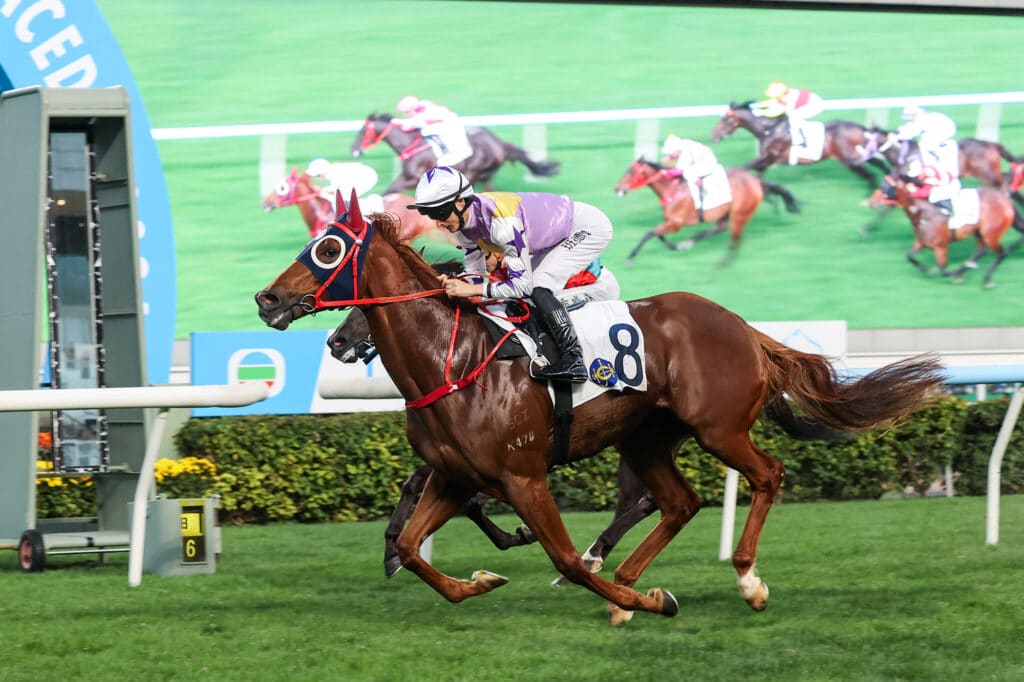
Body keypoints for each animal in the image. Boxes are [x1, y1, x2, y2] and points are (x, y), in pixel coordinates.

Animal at [255, 190, 944, 624]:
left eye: (327, 249)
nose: (268, 299)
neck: (454, 364)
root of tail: (745, 328)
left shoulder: (522, 475)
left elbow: (557, 553)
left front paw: (648, 599)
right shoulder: (454, 475)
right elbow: (411, 547)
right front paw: (477, 579)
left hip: (717, 428)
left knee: (765, 476)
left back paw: (742, 580)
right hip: (645, 438)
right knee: (678, 502)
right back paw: (627, 590)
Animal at [351, 113, 560, 193]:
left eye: (362, 131)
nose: (353, 150)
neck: (410, 144)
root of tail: (499, 144)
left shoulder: (413, 178)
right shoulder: (406, 178)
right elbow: (389, 192)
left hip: (473, 172)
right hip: (484, 176)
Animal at [613, 159, 800, 265]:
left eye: (630, 172)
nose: (616, 189)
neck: (672, 189)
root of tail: (756, 181)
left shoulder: (675, 223)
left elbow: (649, 234)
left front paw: (630, 257)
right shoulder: (670, 222)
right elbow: (657, 235)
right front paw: (675, 246)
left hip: (740, 214)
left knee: (734, 239)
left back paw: (722, 264)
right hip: (726, 213)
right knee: (719, 229)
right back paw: (690, 242)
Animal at [710, 101, 889, 187]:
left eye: (724, 120)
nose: (714, 136)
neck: (769, 129)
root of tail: (860, 128)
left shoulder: (769, 157)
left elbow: (746, 166)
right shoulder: (767, 160)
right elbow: (757, 175)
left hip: (850, 161)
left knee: (870, 175)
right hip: (858, 155)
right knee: (878, 164)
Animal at [867, 175, 1024, 288]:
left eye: (888, 185)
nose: (872, 201)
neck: (921, 212)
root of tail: (1005, 200)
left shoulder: (940, 246)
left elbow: (943, 270)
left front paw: (951, 272)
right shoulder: (921, 242)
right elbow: (910, 256)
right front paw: (928, 270)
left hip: (990, 234)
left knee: (1001, 253)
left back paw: (986, 279)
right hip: (979, 232)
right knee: (982, 251)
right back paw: (966, 270)